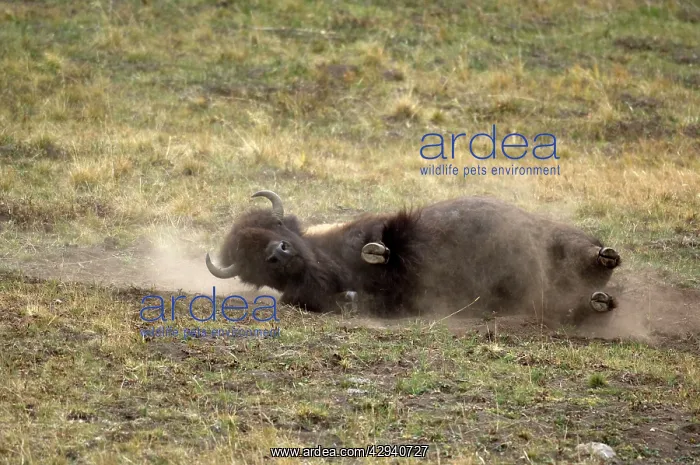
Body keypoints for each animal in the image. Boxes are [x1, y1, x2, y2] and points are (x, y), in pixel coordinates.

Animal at [205, 190, 621, 324]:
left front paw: (376, 252)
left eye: (277, 226)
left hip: (553, 237)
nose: (278, 253)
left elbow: (385, 242)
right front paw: (353, 294)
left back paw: (605, 257)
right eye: (248, 260)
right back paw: (599, 300)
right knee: (576, 303)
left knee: (585, 254)